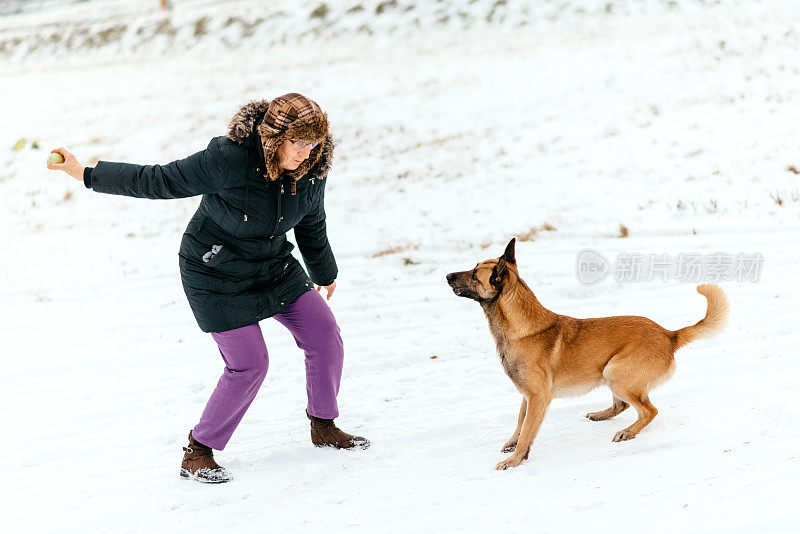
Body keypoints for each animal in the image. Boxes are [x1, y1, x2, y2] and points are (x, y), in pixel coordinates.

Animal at [446, 241, 728, 472]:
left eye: (474, 275)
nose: (447, 275)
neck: (519, 327)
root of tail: (670, 335)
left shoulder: (538, 397)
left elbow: (527, 430)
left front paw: (514, 460)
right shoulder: (527, 395)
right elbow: (520, 422)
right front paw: (513, 445)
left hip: (615, 372)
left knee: (649, 410)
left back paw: (627, 432)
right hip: (613, 374)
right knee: (623, 405)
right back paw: (601, 416)